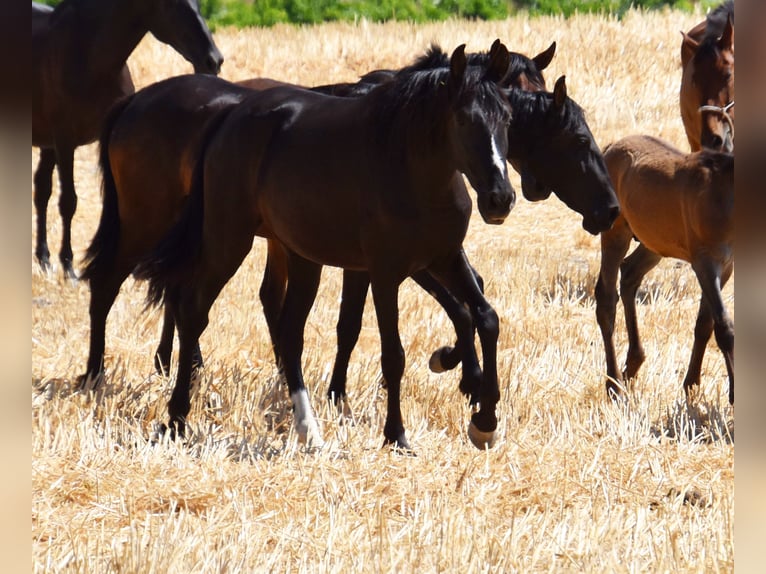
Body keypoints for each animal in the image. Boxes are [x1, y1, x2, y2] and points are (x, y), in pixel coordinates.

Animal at [33, 0, 225, 280]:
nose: (213, 60)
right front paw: (69, 266)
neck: (88, 54)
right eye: (172, 4)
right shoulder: (64, 141)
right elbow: (68, 201)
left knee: (41, 190)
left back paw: (44, 259)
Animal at [596, 136, 736, 404]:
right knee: (606, 299)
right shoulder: (705, 263)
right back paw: (614, 383)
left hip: (654, 242)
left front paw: (692, 384)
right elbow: (723, 328)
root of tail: (610, 147)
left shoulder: (727, 266)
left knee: (629, 274)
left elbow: (705, 323)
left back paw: (633, 364)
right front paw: (735, 394)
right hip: (615, 233)